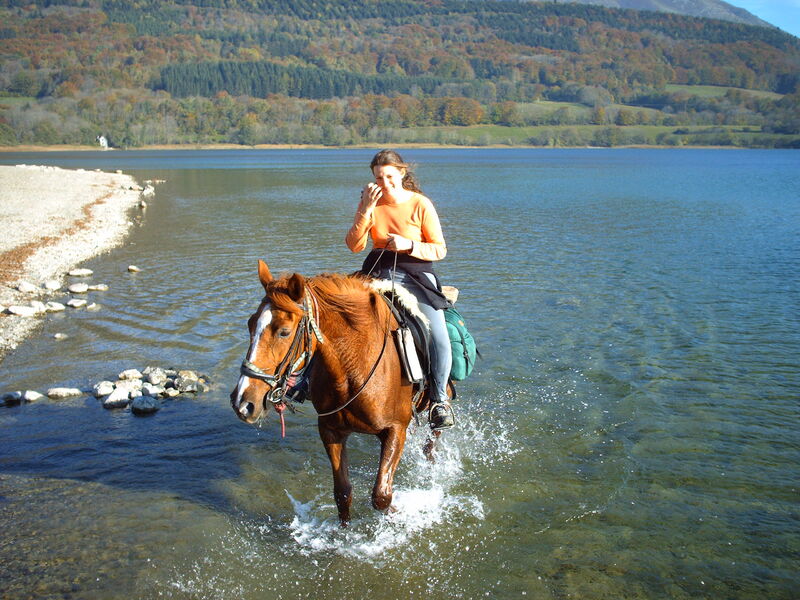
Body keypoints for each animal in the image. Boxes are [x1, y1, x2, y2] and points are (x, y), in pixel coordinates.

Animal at [230, 259, 442, 525]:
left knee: (433, 437)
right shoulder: (331, 431)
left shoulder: (395, 429)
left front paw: (399, 514)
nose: (243, 403)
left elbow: (381, 496)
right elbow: (342, 493)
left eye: (284, 331)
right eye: (250, 323)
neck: (354, 369)